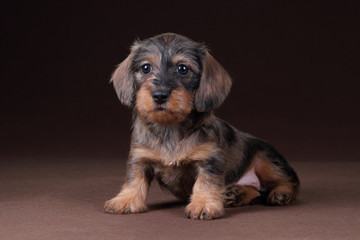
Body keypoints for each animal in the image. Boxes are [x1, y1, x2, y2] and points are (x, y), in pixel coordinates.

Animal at [103, 32, 298, 220]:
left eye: (183, 69)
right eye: (145, 68)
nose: (159, 95)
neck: (170, 127)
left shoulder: (209, 160)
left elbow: (205, 183)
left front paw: (204, 204)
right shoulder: (140, 158)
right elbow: (133, 179)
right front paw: (125, 199)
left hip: (267, 159)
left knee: (290, 181)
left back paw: (281, 193)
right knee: (256, 191)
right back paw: (238, 193)